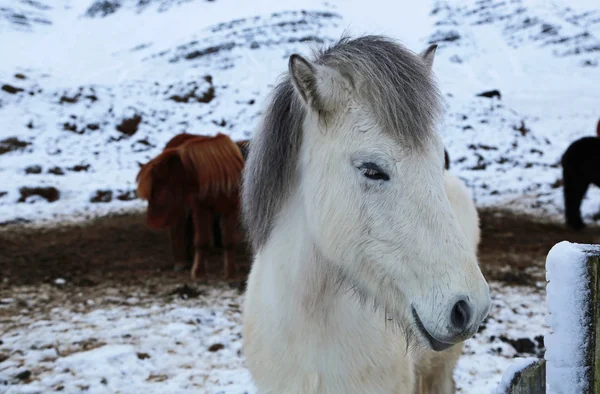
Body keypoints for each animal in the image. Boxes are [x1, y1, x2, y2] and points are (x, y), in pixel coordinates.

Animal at [137, 132, 245, 280]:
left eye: (159, 186)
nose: (151, 222)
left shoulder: (231, 209)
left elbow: (229, 241)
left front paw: (230, 273)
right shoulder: (200, 208)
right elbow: (201, 240)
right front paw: (198, 272)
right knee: (178, 229)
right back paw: (181, 262)